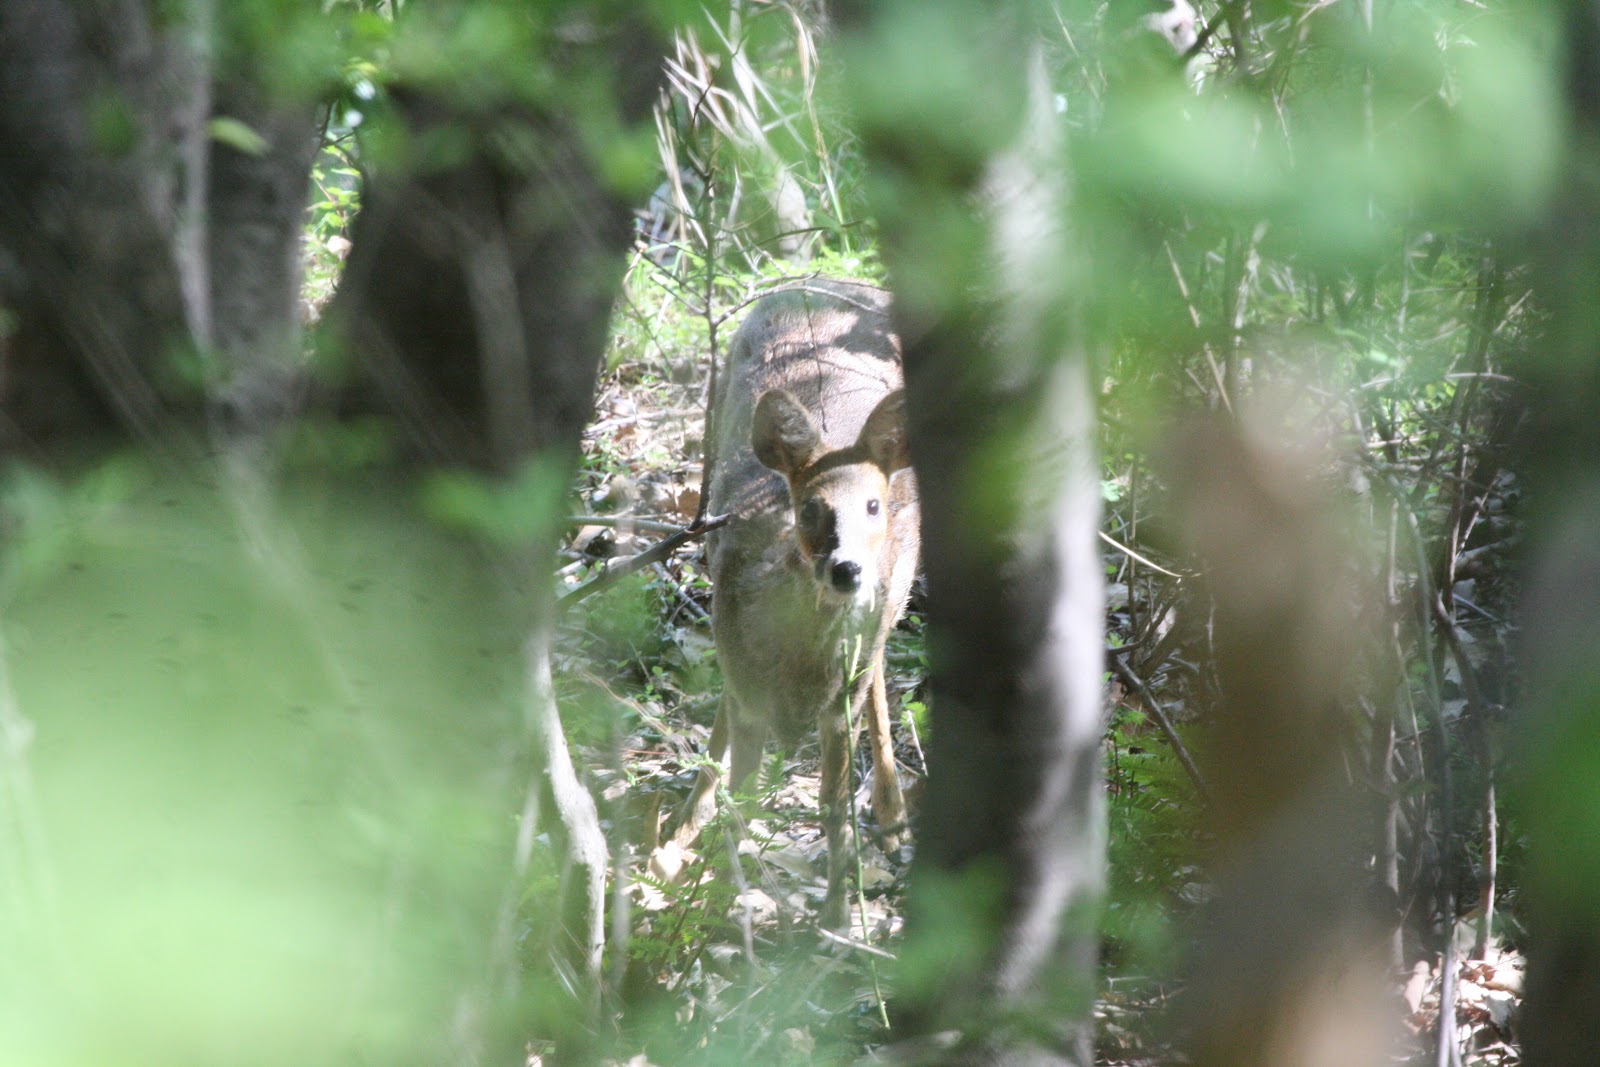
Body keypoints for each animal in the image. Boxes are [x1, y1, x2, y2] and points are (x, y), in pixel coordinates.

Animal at [671, 279, 918, 931]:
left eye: (874, 506)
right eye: (810, 507)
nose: (846, 569)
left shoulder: (838, 705)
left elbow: (831, 802)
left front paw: (834, 914)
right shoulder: (746, 680)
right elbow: (744, 797)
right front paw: (724, 901)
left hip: (894, 597)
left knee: (879, 673)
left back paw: (893, 817)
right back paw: (685, 821)